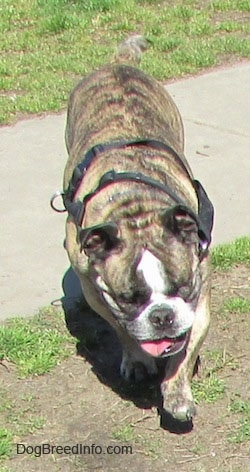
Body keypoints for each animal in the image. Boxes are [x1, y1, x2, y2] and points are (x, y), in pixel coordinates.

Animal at [60, 35, 213, 422]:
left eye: (182, 286)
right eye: (130, 298)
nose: (161, 316)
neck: (136, 210)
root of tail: (119, 65)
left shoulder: (199, 302)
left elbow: (183, 351)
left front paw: (176, 392)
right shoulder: (95, 291)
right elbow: (121, 328)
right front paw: (137, 358)